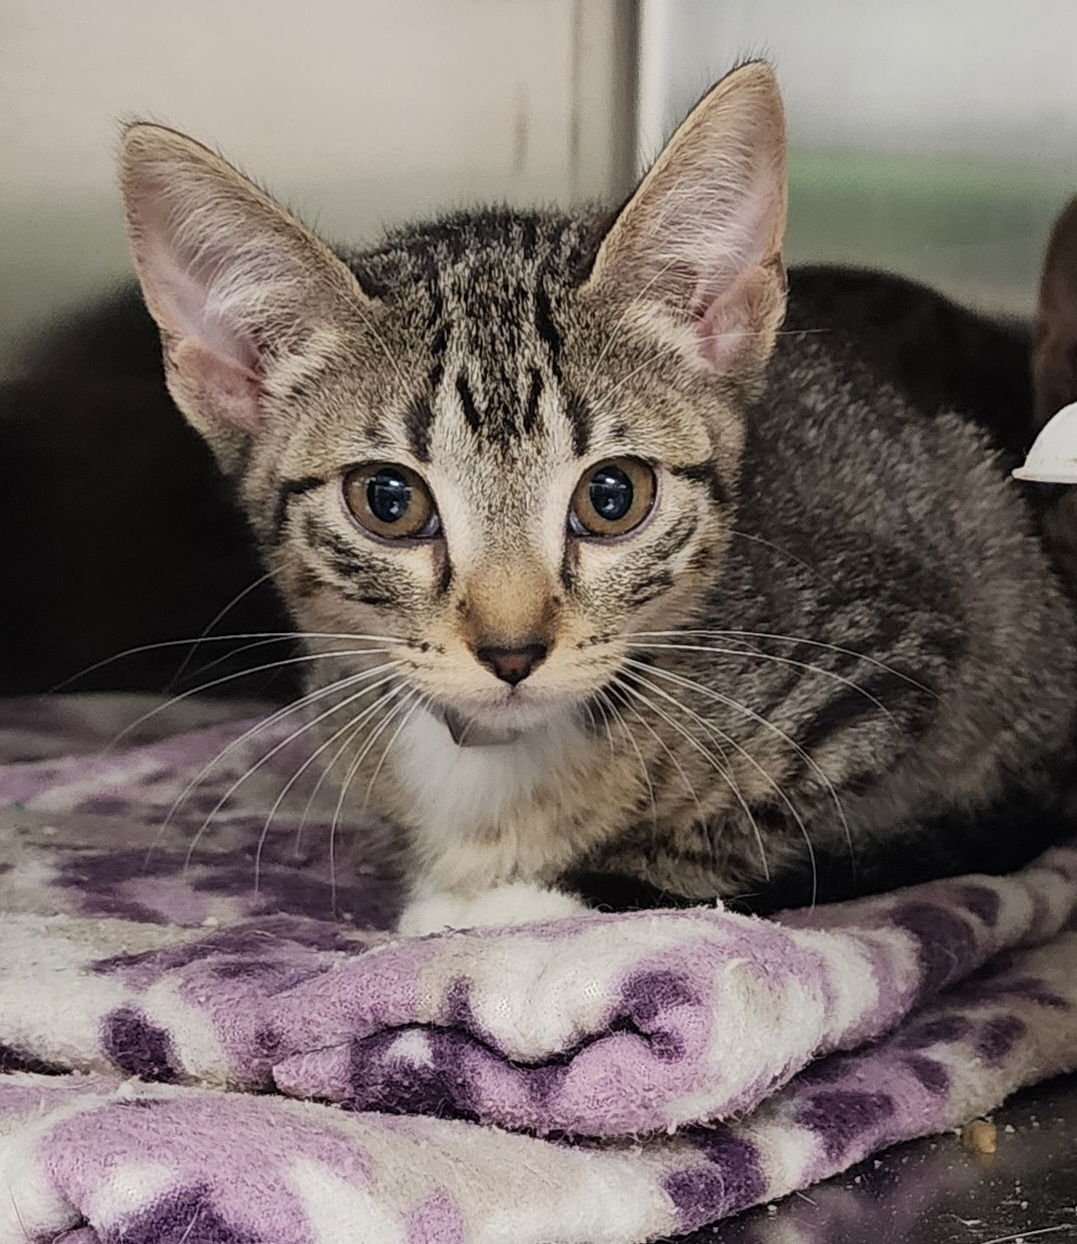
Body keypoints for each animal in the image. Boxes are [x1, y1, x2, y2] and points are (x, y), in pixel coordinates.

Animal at [117, 63, 1074, 930]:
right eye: (388, 501)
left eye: (613, 496)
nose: (511, 652)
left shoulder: (888, 656)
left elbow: (752, 836)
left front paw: (522, 901)